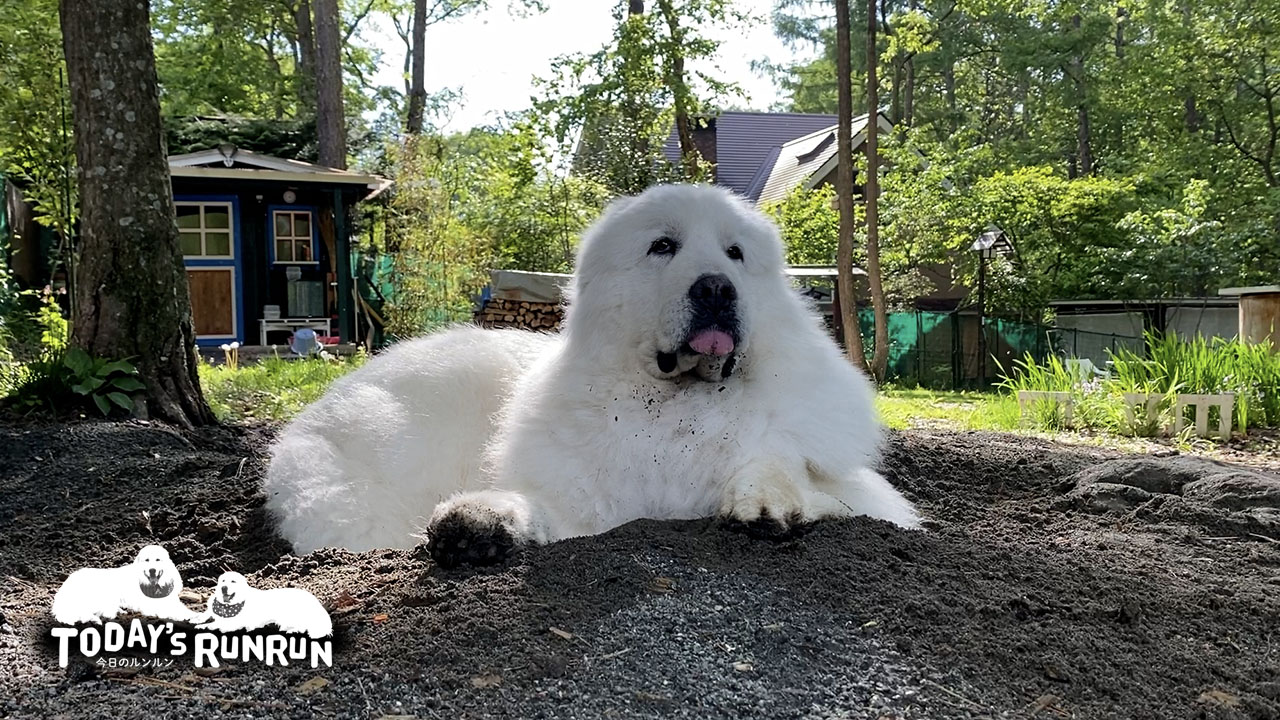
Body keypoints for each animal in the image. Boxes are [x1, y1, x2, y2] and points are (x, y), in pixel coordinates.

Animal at [196, 572, 332, 638]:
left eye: (233, 581)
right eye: (223, 581)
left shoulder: (236, 622)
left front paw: (204, 626)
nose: (223, 588)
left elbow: (216, 624)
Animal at [265, 184, 920, 566]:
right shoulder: (586, 505)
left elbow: (781, 462)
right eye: (663, 247)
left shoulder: (849, 482)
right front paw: (484, 520)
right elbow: (542, 508)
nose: (715, 288)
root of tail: (308, 423)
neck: (678, 404)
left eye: (735, 254)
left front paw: (766, 500)